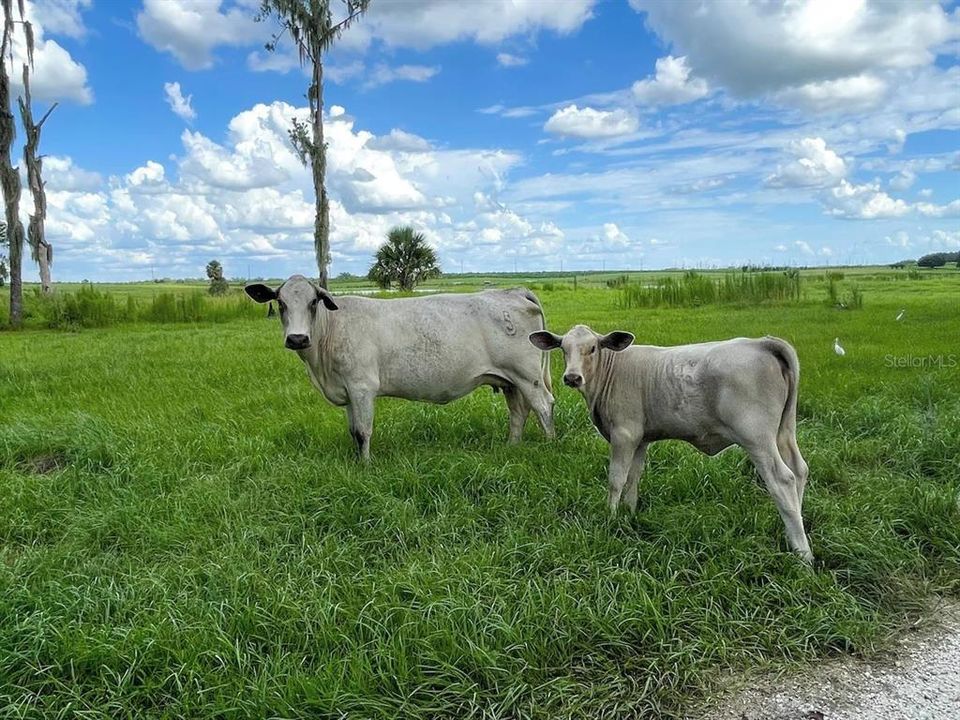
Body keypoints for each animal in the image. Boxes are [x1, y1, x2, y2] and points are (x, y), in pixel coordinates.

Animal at [246, 276, 556, 462]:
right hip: (510, 380)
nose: (297, 338)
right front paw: (357, 461)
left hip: (527, 375)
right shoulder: (348, 390)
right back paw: (511, 447)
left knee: (543, 405)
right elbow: (352, 430)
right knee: (518, 411)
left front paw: (366, 466)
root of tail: (513, 291)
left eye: (313, 302)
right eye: (280, 303)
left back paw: (550, 444)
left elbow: (363, 431)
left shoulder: (362, 387)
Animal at [528, 324, 812, 564]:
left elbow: (616, 479)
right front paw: (629, 514)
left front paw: (610, 517)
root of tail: (760, 343)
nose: (572, 377)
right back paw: (794, 529)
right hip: (784, 432)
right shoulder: (640, 439)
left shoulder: (624, 435)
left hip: (757, 439)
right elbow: (634, 478)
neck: (613, 370)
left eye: (593, 348)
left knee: (783, 479)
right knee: (799, 470)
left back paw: (802, 553)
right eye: (563, 349)